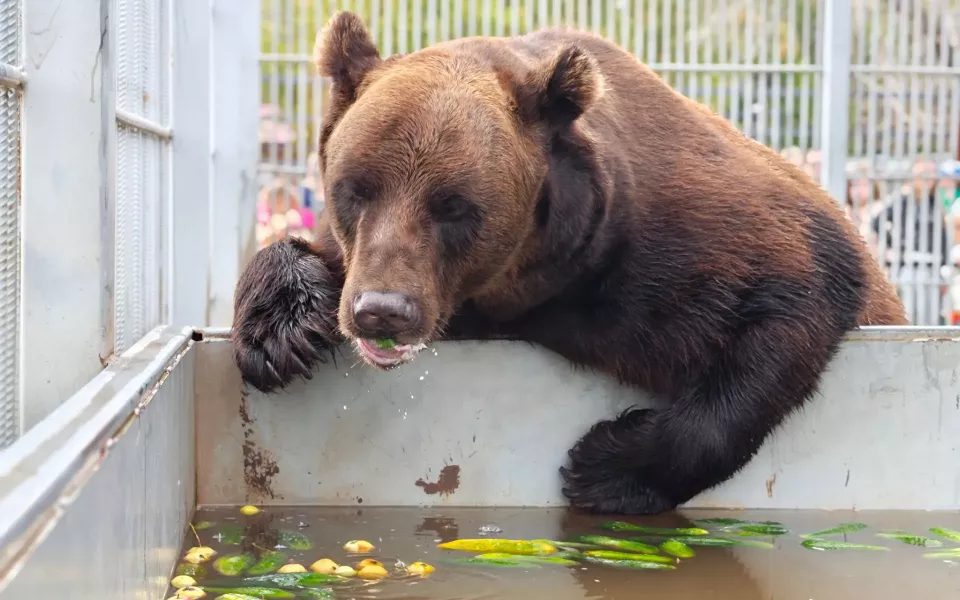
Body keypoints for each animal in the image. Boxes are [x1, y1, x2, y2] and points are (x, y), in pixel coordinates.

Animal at [232, 11, 907, 515]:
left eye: (454, 205)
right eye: (356, 188)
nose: (382, 311)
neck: (534, 283)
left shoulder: (678, 251)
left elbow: (784, 302)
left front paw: (603, 465)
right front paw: (281, 331)